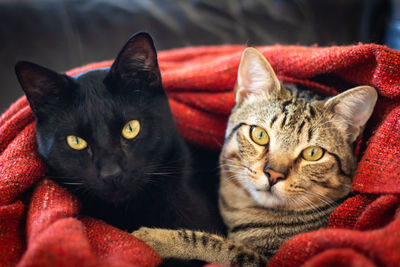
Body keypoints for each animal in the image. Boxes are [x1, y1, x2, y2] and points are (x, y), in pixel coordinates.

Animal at [132, 47, 378, 266]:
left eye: (312, 153)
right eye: (259, 135)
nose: (274, 174)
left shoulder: (266, 260)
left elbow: (215, 244)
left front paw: (153, 238)